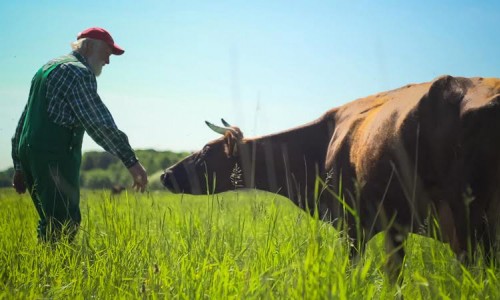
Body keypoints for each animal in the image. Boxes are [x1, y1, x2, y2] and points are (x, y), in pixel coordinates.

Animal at [162, 75, 500, 282]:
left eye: (207, 151)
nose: (165, 175)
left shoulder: (352, 224)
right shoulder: (394, 226)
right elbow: (395, 276)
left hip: (467, 220)